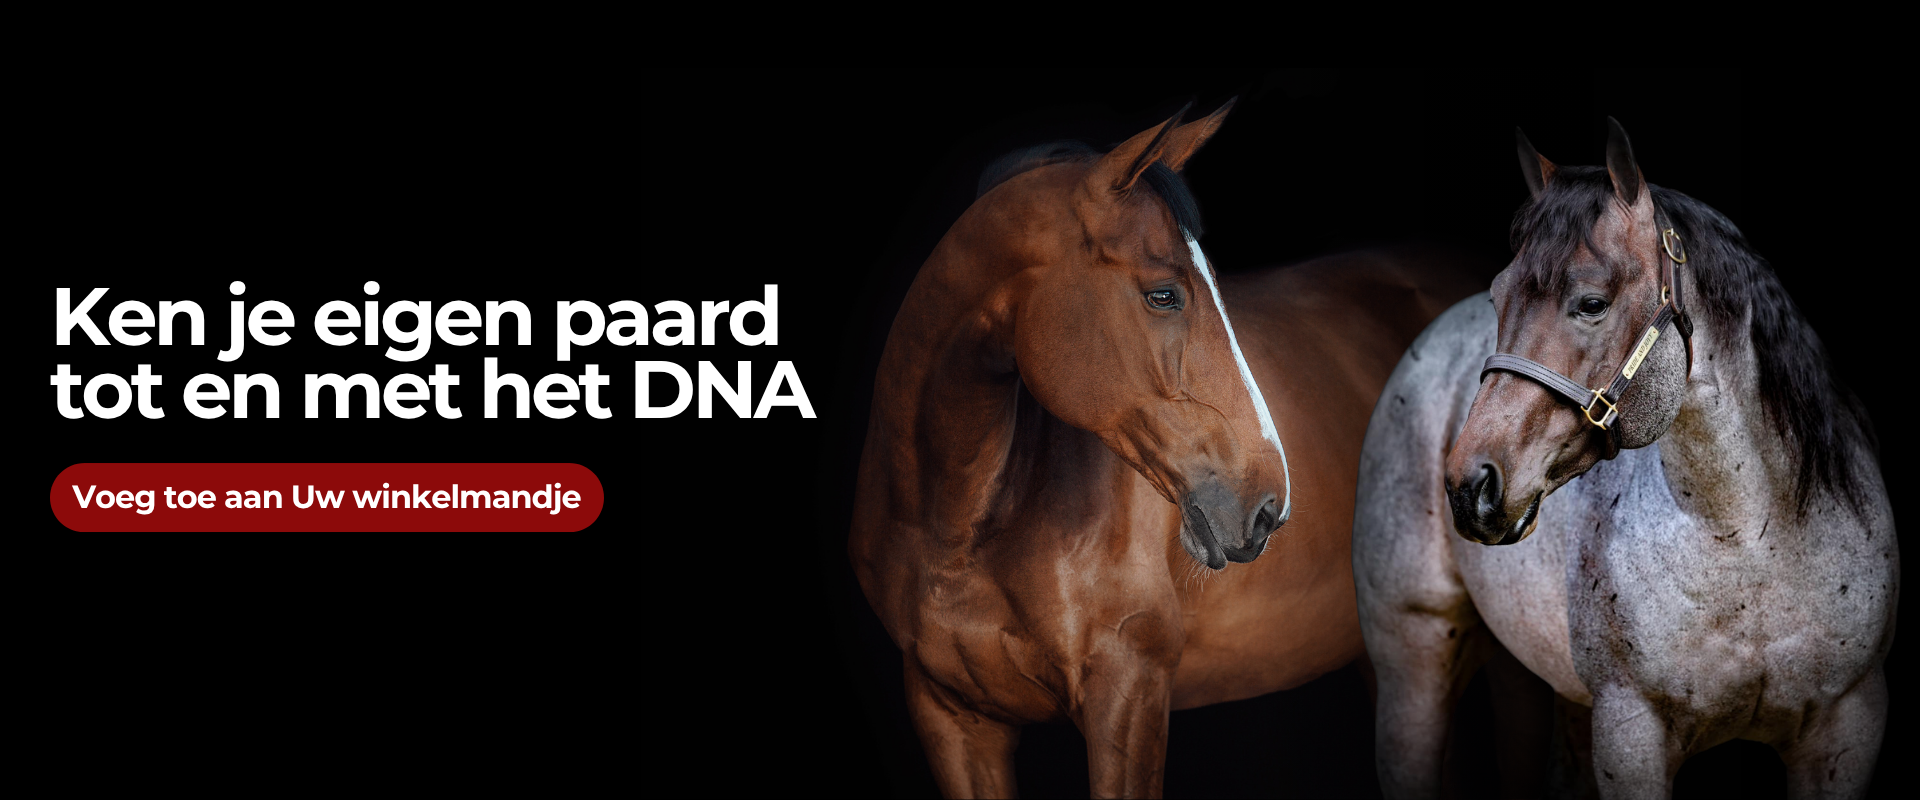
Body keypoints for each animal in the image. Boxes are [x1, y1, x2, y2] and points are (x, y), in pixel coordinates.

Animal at [1354, 118, 1898, 799]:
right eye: (1499, 297)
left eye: (1591, 302)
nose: (1468, 486)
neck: (1750, 541)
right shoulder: (1631, 732)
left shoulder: (1847, 728)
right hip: (1415, 660)